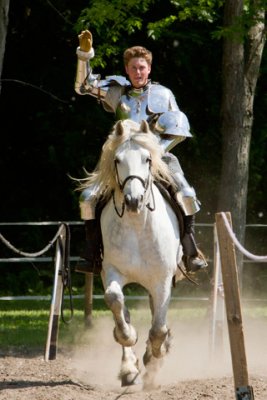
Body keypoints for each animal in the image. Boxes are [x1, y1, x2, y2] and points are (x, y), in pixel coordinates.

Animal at [81, 119, 184, 388]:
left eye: (147, 159)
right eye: (117, 160)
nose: (133, 200)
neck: (138, 226)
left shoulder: (162, 280)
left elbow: (158, 328)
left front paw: (156, 356)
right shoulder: (111, 272)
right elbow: (117, 303)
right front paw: (128, 344)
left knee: (157, 316)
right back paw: (130, 367)